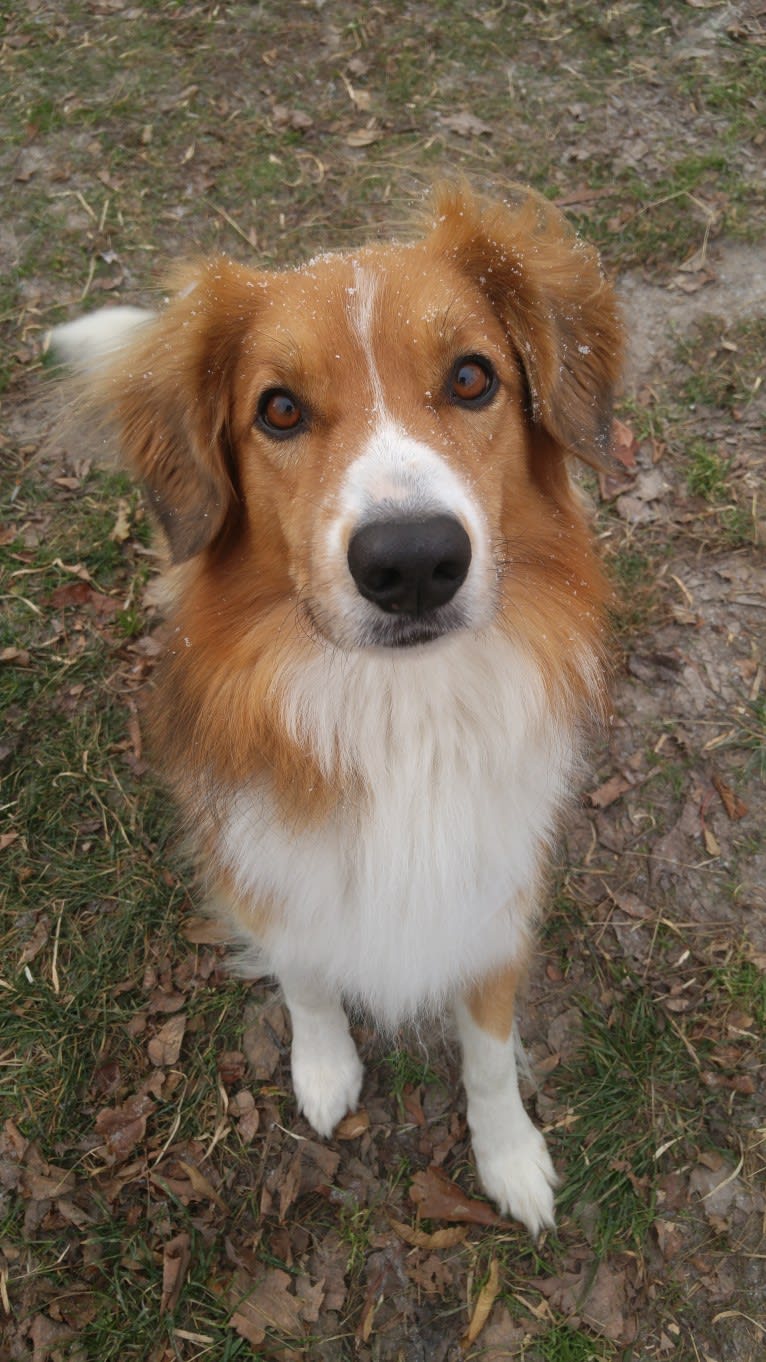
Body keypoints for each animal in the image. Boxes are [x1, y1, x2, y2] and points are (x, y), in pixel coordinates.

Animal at [53, 186, 624, 1242]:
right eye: (279, 409)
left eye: (473, 378)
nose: (412, 562)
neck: (399, 716)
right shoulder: (270, 866)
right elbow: (308, 977)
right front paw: (323, 1066)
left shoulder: (491, 899)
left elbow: (489, 1053)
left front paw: (509, 1155)